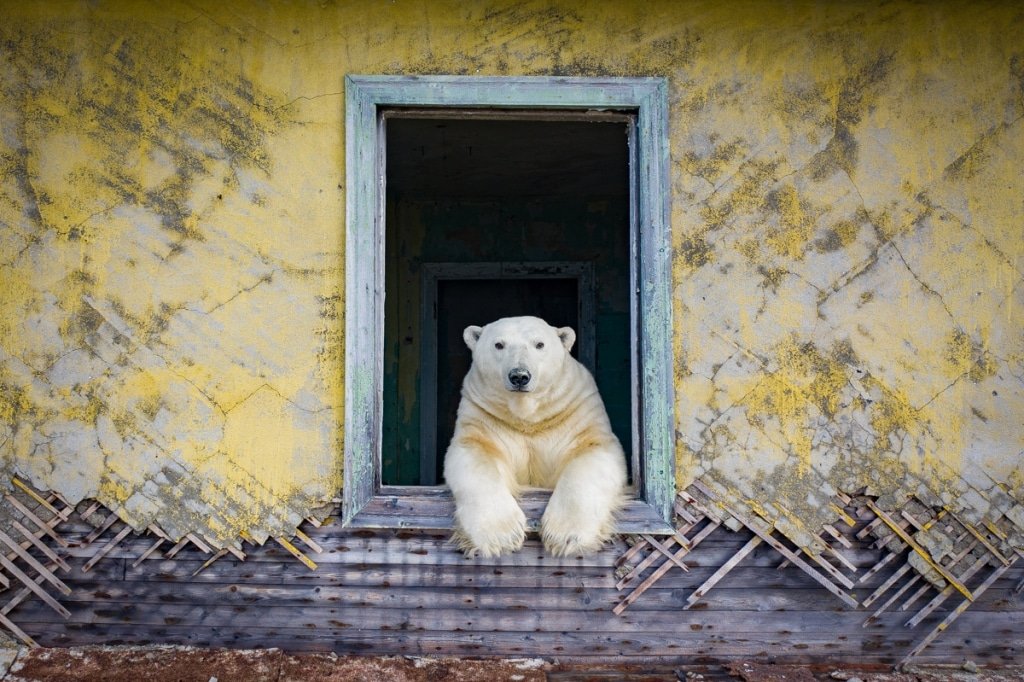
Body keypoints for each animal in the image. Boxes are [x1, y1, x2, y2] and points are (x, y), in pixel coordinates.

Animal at [443, 315, 627, 558]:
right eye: (499, 344)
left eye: (539, 344)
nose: (519, 376)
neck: (528, 418)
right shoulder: (484, 416)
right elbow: (474, 454)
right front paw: (501, 536)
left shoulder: (576, 411)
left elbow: (592, 452)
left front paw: (565, 537)